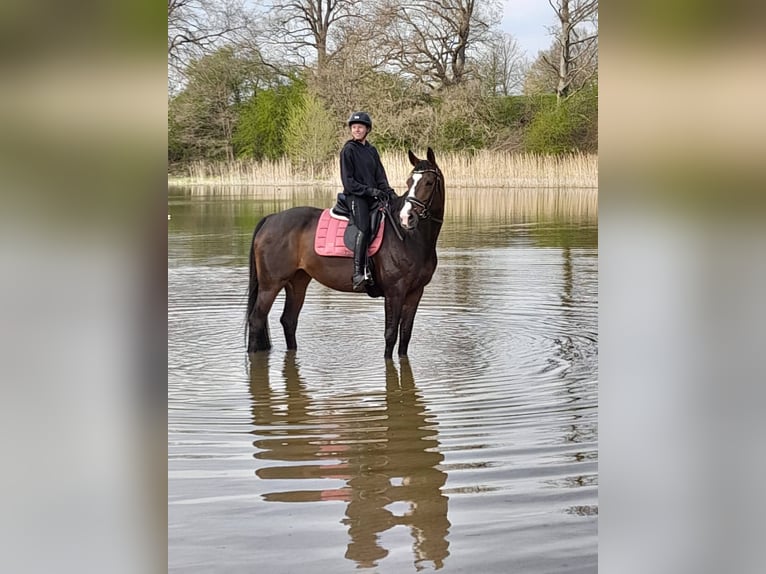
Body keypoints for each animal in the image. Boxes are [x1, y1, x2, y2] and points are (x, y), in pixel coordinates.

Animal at [246, 147, 444, 359]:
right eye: (409, 182)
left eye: (429, 182)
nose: (406, 218)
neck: (410, 237)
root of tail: (270, 219)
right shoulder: (395, 292)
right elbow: (390, 335)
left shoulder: (415, 292)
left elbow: (405, 335)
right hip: (270, 285)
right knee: (256, 319)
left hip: (297, 282)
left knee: (288, 321)